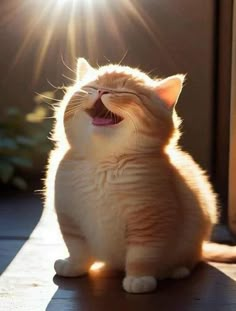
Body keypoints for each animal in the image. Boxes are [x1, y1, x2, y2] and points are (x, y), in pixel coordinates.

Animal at [44, 59, 234, 294]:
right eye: (91, 86)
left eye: (123, 91)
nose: (102, 91)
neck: (103, 164)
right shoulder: (69, 216)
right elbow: (77, 247)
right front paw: (74, 266)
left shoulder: (149, 221)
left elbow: (141, 256)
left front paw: (139, 279)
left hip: (191, 244)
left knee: (191, 260)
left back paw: (177, 271)